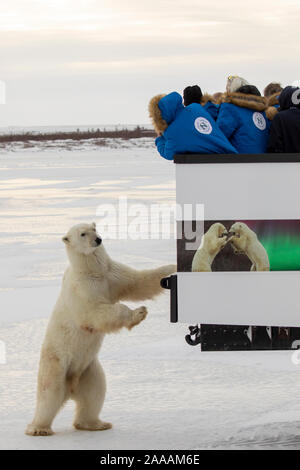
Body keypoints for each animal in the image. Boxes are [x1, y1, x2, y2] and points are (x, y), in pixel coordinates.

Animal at [25, 224, 177, 436]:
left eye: (94, 227)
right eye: (83, 233)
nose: (98, 239)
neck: (92, 271)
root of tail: (71, 386)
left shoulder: (112, 275)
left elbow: (139, 281)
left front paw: (173, 267)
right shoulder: (83, 289)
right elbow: (96, 312)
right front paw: (139, 313)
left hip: (89, 370)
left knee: (95, 393)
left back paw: (95, 424)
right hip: (56, 364)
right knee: (49, 395)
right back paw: (39, 429)